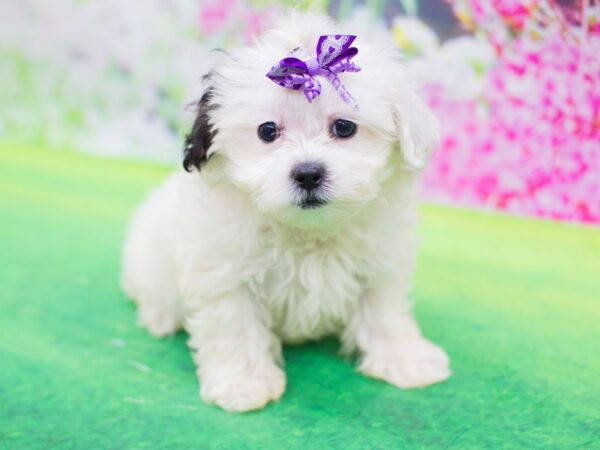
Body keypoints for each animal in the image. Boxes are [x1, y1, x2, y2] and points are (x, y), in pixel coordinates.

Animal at [122, 11, 450, 412]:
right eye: (267, 131)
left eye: (344, 127)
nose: (308, 173)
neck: (309, 232)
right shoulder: (225, 272)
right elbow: (235, 326)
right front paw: (243, 384)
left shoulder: (380, 261)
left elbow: (384, 311)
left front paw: (405, 359)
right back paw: (159, 318)